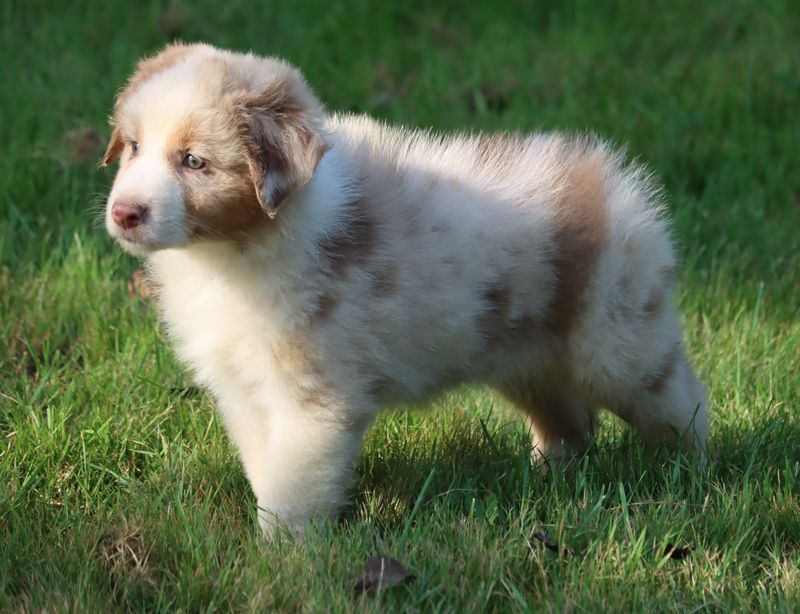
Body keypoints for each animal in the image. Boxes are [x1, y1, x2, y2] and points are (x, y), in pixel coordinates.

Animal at [101, 42, 708, 540]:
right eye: (132, 147)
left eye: (194, 161)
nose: (124, 213)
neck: (233, 253)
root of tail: (616, 180)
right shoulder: (243, 392)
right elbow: (264, 471)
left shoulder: (313, 401)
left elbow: (292, 489)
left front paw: (285, 559)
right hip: (525, 358)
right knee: (571, 420)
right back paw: (548, 476)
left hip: (617, 339)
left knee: (680, 398)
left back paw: (690, 474)